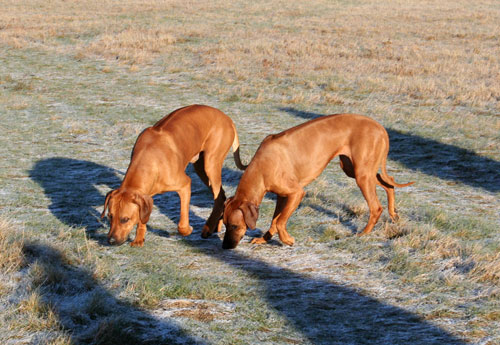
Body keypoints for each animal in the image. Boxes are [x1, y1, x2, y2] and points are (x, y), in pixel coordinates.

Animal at [101, 104, 246, 245]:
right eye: (110, 216)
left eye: (125, 219)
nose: (111, 241)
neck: (147, 159)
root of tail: (227, 118)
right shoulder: (146, 195)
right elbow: (143, 216)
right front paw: (139, 238)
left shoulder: (184, 184)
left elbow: (181, 224)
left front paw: (187, 230)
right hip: (200, 167)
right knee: (222, 195)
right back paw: (216, 226)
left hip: (211, 163)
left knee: (219, 197)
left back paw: (207, 228)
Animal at [223, 114, 414, 249]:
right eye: (223, 224)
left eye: (234, 226)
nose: (225, 246)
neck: (260, 167)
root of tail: (380, 127)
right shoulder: (282, 196)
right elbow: (275, 219)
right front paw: (265, 239)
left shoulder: (296, 193)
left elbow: (279, 220)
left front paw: (287, 240)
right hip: (354, 169)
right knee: (389, 183)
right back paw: (393, 214)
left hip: (362, 174)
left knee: (376, 207)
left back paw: (363, 234)